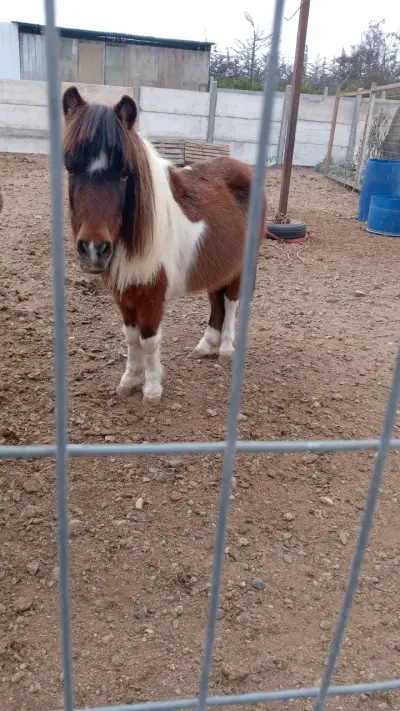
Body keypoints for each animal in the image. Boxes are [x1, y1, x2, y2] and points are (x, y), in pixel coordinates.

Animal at [62, 86, 267, 405]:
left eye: (125, 173)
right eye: (71, 169)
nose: (94, 249)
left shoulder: (151, 297)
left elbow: (149, 341)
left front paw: (151, 389)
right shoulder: (125, 296)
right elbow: (131, 338)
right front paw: (129, 380)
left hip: (239, 267)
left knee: (232, 304)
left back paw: (226, 349)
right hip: (215, 267)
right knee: (216, 303)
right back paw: (205, 346)